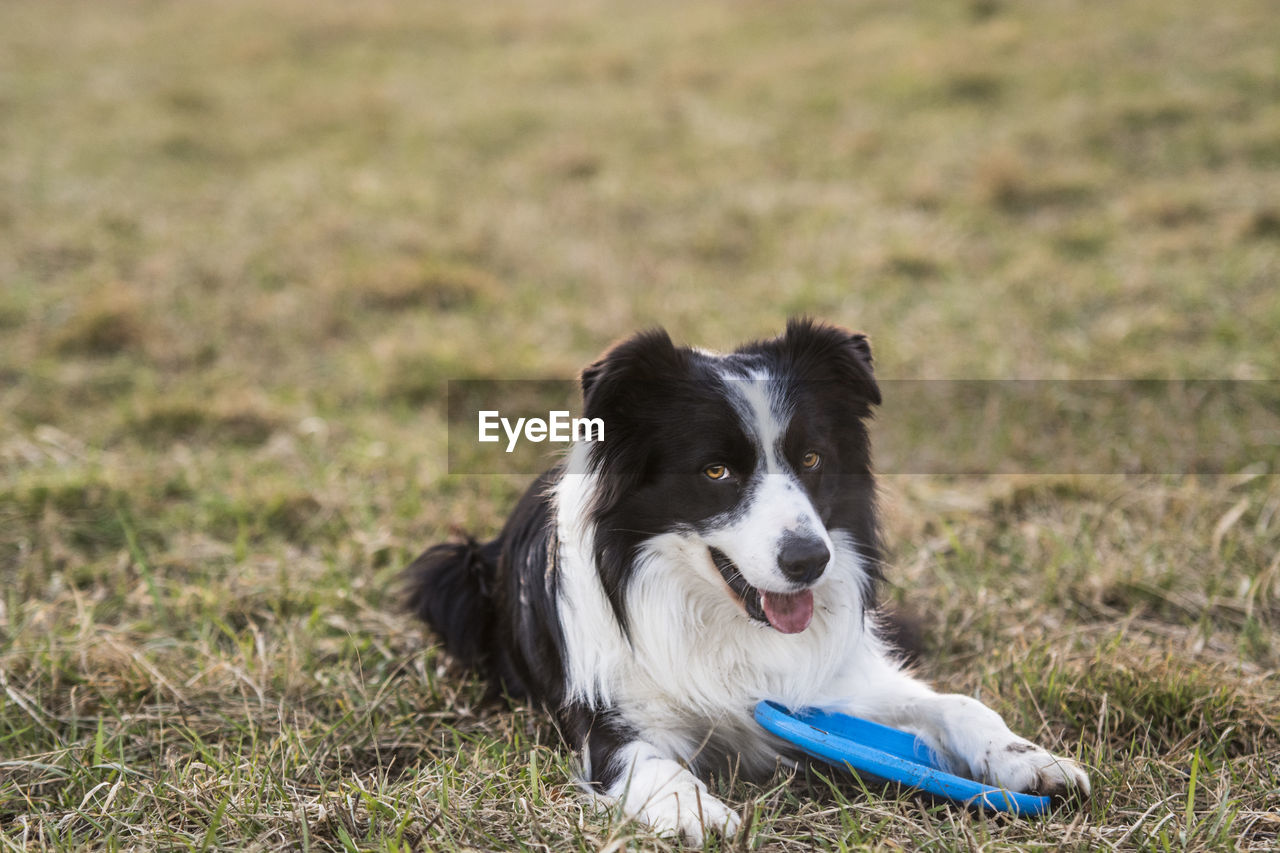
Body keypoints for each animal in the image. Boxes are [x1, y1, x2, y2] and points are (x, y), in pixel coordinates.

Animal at [409, 320, 1090, 845]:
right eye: (716, 472)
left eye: (812, 459)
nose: (810, 561)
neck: (722, 617)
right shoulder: (608, 718)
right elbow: (646, 761)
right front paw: (693, 810)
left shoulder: (829, 683)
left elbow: (957, 703)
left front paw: (1034, 761)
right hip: (450, 574)